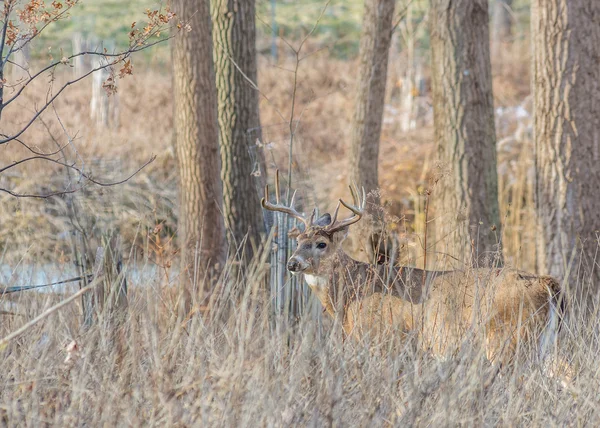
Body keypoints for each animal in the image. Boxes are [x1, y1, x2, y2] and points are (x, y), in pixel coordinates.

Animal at [262, 174, 568, 368]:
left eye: (321, 244)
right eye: (298, 241)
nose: (292, 263)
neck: (350, 294)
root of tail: (547, 284)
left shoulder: (380, 338)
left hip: (508, 339)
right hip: (548, 343)